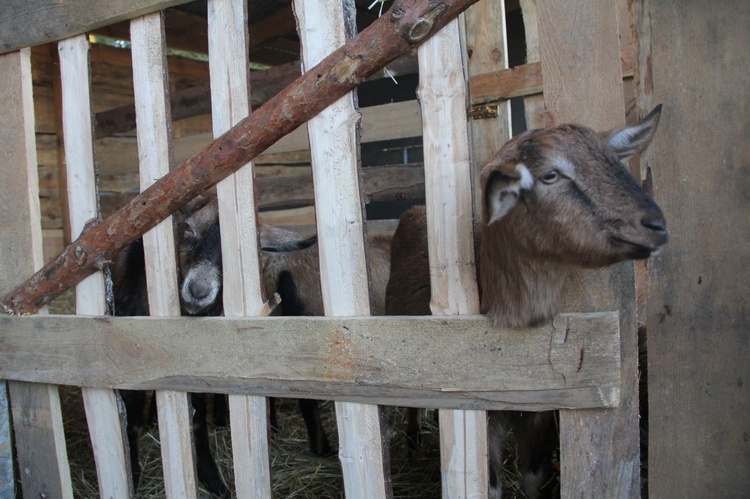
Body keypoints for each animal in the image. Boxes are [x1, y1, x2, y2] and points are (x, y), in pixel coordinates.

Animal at [388, 107, 668, 499]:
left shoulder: (543, 413)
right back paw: (412, 444)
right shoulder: (484, 410)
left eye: (615, 161)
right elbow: (490, 486)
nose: (656, 225)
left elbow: (535, 477)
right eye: (550, 174)